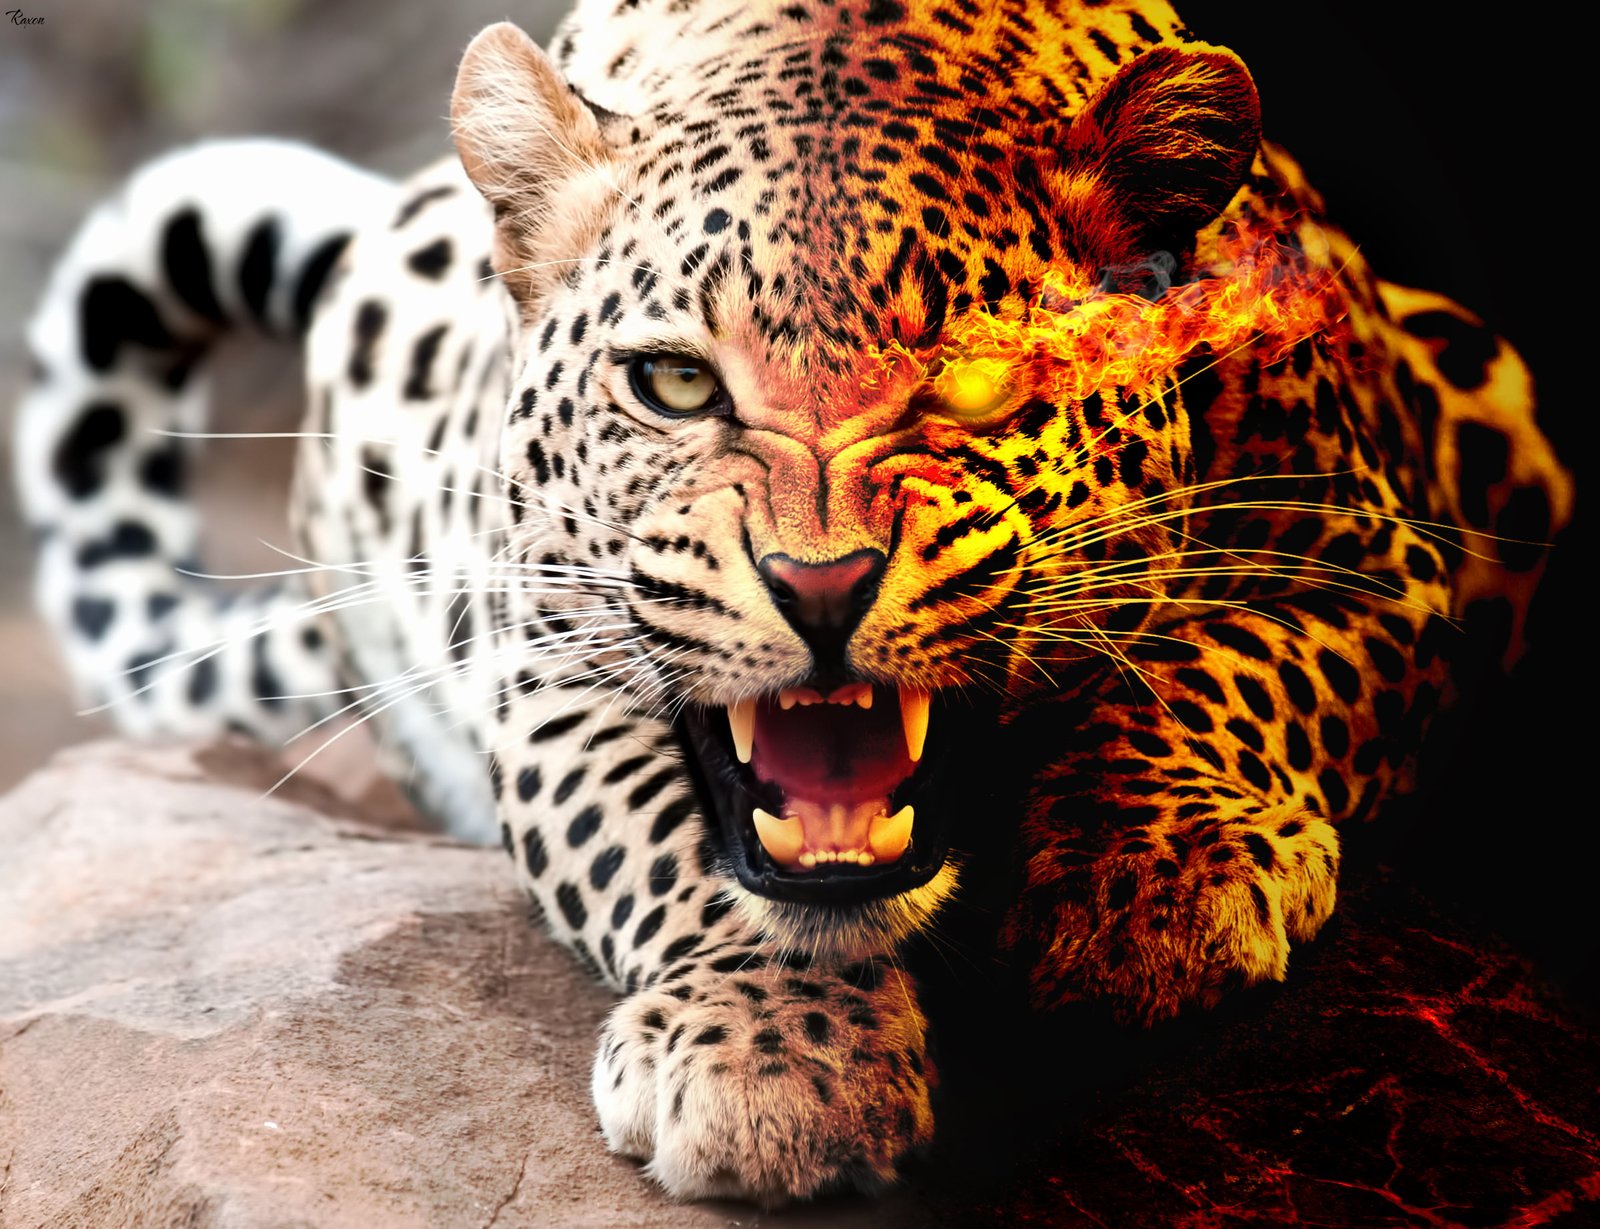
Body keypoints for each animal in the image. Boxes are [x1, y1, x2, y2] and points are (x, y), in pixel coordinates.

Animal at [13, 0, 1573, 1206]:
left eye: (976, 382)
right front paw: (778, 1059)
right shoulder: (546, 652)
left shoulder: (1375, 547)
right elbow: (668, 846)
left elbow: (1222, 672)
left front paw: (1154, 881)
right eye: (675, 382)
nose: (819, 585)